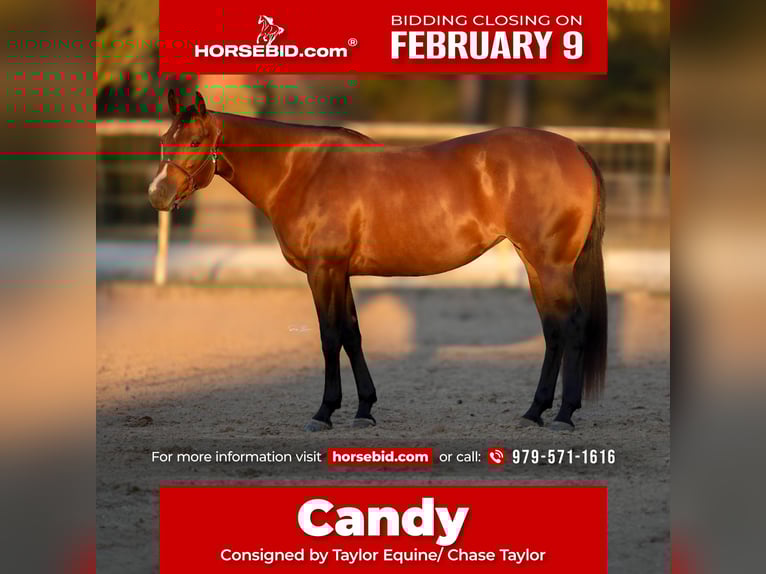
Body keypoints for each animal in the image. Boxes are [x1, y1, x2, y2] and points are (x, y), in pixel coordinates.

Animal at [149, 89, 607, 432]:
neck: (301, 170)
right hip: (535, 264)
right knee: (552, 330)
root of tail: (573, 148)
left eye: (194, 142)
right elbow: (352, 334)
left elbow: (329, 336)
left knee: (571, 325)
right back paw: (535, 412)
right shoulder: (340, 272)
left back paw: (564, 415)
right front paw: (364, 409)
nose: (157, 195)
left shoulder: (323, 270)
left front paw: (324, 412)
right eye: (164, 140)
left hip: (550, 265)